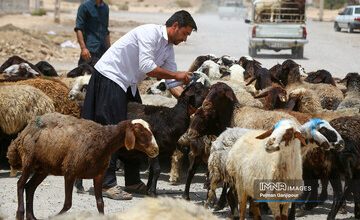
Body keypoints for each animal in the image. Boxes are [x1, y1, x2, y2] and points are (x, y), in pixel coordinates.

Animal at [6, 112, 159, 219]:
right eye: (140, 131)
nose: (156, 150)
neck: (104, 140)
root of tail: (25, 130)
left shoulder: (98, 175)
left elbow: (100, 203)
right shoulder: (70, 171)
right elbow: (68, 204)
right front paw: (53, 216)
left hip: (43, 168)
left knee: (30, 187)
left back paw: (31, 216)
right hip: (28, 161)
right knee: (20, 184)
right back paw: (20, 214)